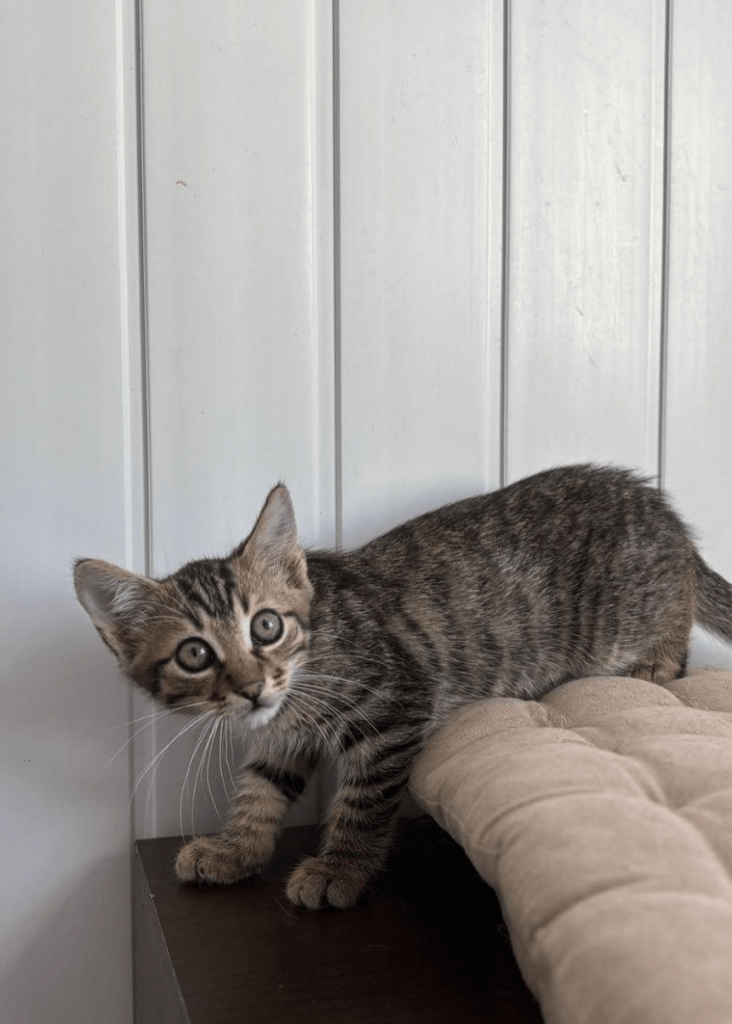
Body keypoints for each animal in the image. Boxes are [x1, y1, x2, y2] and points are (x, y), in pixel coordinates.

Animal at [73, 468, 732, 909]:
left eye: (266, 626)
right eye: (195, 654)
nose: (253, 686)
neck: (311, 654)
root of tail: (665, 516)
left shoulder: (395, 708)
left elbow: (362, 801)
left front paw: (337, 870)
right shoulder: (281, 737)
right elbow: (261, 788)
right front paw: (236, 849)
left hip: (633, 614)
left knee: (675, 641)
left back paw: (652, 669)